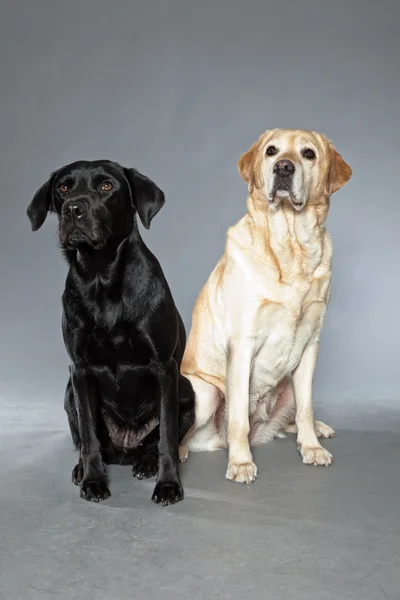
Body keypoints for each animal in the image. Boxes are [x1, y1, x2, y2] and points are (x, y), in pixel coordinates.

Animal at [26, 161, 194, 506]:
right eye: (63, 187)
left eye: (106, 187)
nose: (73, 209)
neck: (101, 278)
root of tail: (124, 448)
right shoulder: (79, 370)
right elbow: (89, 435)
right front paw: (93, 480)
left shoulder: (165, 368)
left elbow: (167, 438)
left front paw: (168, 485)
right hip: (68, 392)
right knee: (90, 441)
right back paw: (83, 468)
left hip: (187, 390)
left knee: (154, 441)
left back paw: (146, 462)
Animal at [180, 127, 352, 482]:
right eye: (271, 151)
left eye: (308, 154)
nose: (284, 168)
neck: (290, 245)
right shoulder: (242, 343)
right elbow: (238, 420)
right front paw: (241, 463)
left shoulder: (311, 344)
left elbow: (306, 408)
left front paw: (312, 448)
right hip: (206, 391)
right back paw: (181, 452)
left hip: (287, 383)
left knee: (293, 416)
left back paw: (316, 429)